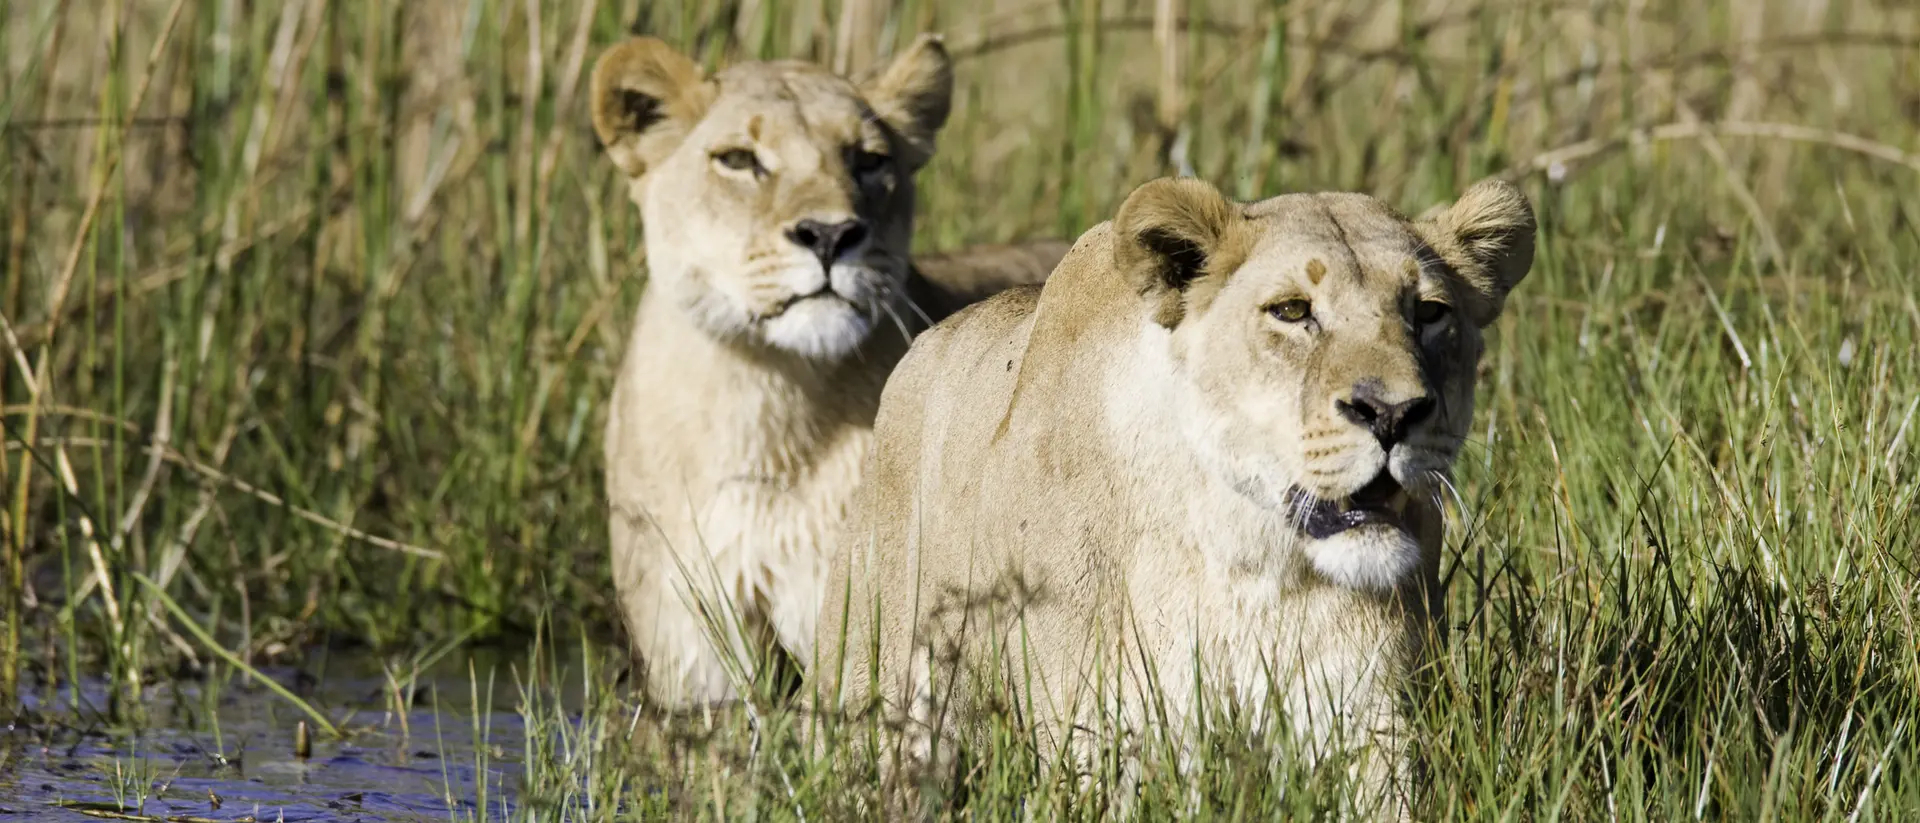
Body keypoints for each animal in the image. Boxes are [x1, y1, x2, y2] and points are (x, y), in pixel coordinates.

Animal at [811, 175, 1535, 812]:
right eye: (1293, 311)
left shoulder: (1370, 717)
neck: (1250, 556)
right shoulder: (1103, 734)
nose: (1392, 414)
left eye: (1430, 313)